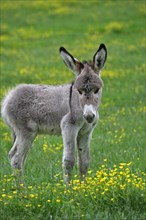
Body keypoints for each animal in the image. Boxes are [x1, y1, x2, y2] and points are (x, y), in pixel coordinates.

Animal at [1, 43, 107, 183]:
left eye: (97, 90)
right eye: (79, 91)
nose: (89, 116)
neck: (78, 105)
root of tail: (8, 97)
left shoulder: (86, 132)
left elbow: (84, 162)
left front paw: (83, 186)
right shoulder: (69, 127)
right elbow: (69, 160)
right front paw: (69, 188)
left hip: (23, 133)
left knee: (18, 157)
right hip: (26, 132)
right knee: (16, 158)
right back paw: (22, 189)